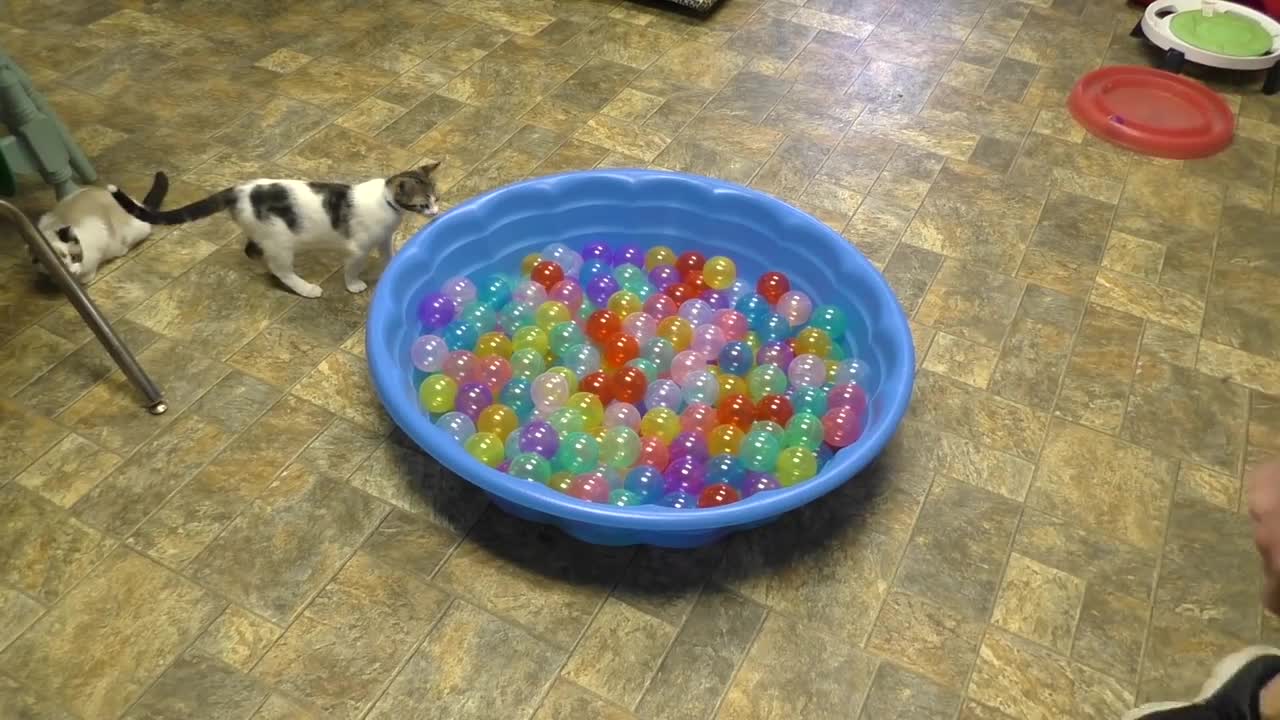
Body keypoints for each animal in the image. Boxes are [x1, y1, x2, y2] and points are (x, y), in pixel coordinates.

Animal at [34, 171, 168, 283]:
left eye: (74, 257)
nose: (71, 273)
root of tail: (137, 204)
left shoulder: (98, 238)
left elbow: (88, 272)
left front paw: (81, 277)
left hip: (131, 233)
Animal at [107, 160, 445, 297]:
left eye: (436, 199)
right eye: (423, 204)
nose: (437, 212)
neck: (388, 204)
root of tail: (238, 190)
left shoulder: (384, 236)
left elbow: (389, 252)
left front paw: (395, 263)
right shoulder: (357, 248)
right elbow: (352, 268)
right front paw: (353, 285)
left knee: (252, 250)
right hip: (281, 241)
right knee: (280, 267)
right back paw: (304, 287)